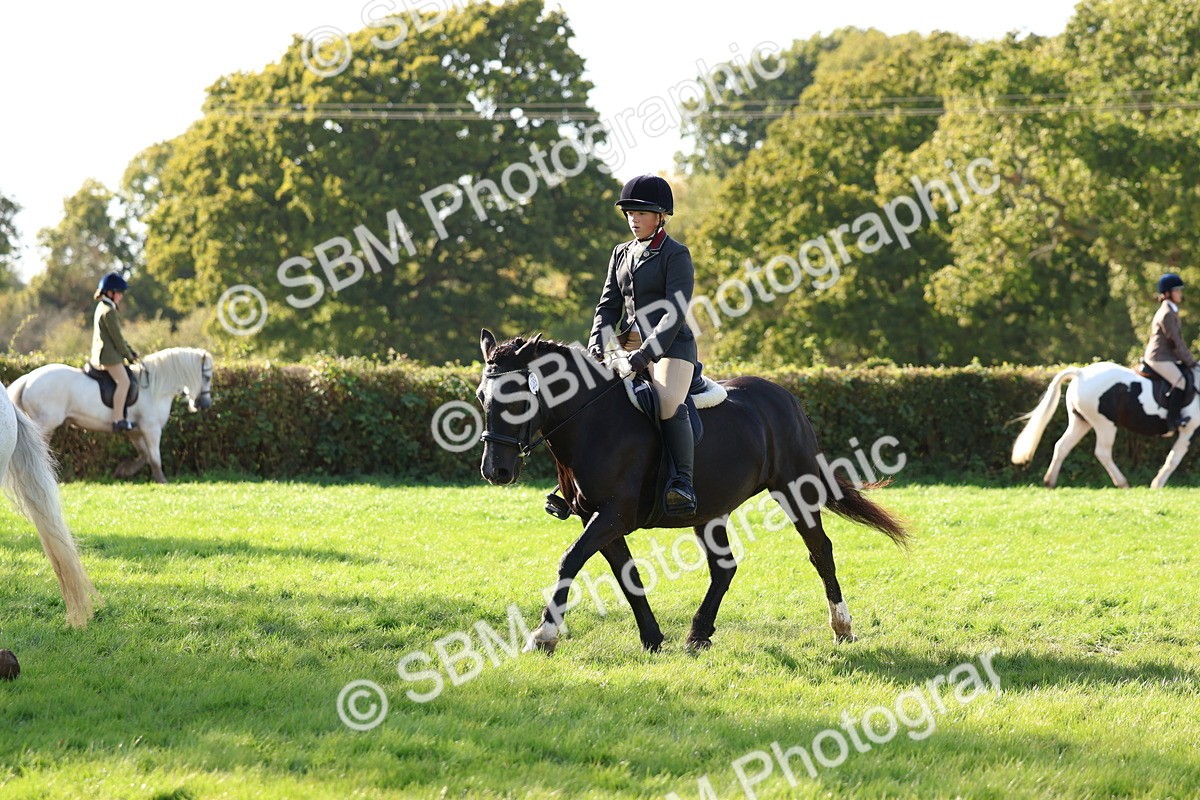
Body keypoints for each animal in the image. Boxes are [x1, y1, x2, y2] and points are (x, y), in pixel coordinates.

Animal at [8, 348, 213, 485]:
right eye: (207, 376)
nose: (205, 404)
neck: (155, 388)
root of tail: (28, 379)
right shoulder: (151, 429)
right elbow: (155, 457)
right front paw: (162, 480)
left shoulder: (135, 432)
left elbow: (144, 455)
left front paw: (123, 471)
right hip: (45, 424)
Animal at [476, 330, 910, 653]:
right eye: (482, 396)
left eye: (517, 398)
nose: (495, 470)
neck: (593, 422)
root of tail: (786, 398)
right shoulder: (596, 517)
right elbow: (625, 573)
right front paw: (652, 638)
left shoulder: (615, 513)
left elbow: (570, 561)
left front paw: (543, 636)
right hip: (710, 510)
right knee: (724, 568)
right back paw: (698, 634)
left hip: (794, 490)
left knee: (820, 551)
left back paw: (842, 627)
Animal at [1011, 362, 1200, 488]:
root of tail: (1081, 373)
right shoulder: (1190, 430)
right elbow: (1173, 459)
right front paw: (1157, 484)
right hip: (1105, 424)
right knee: (1102, 452)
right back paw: (1122, 483)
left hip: (1081, 422)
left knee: (1062, 446)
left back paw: (1050, 481)